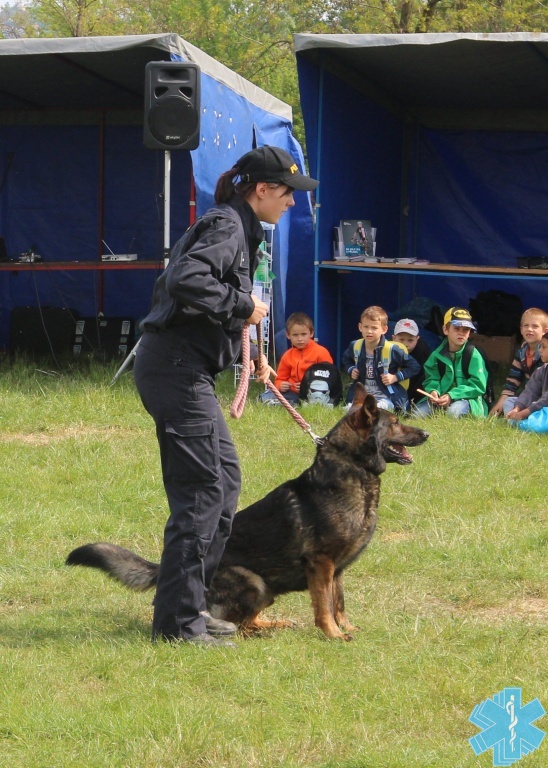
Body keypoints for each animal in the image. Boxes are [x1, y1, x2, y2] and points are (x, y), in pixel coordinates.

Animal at [67, 385, 428, 640]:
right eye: (396, 423)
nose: (427, 433)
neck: (351, 465)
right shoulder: (321, 564)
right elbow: (323, 606)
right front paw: (333, 635)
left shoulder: (336, 571)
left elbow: (338, 603)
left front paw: (346, 628)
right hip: (255, 583)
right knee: (240, 625)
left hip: (267, 592)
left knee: (249, 621)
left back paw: (276, 624)